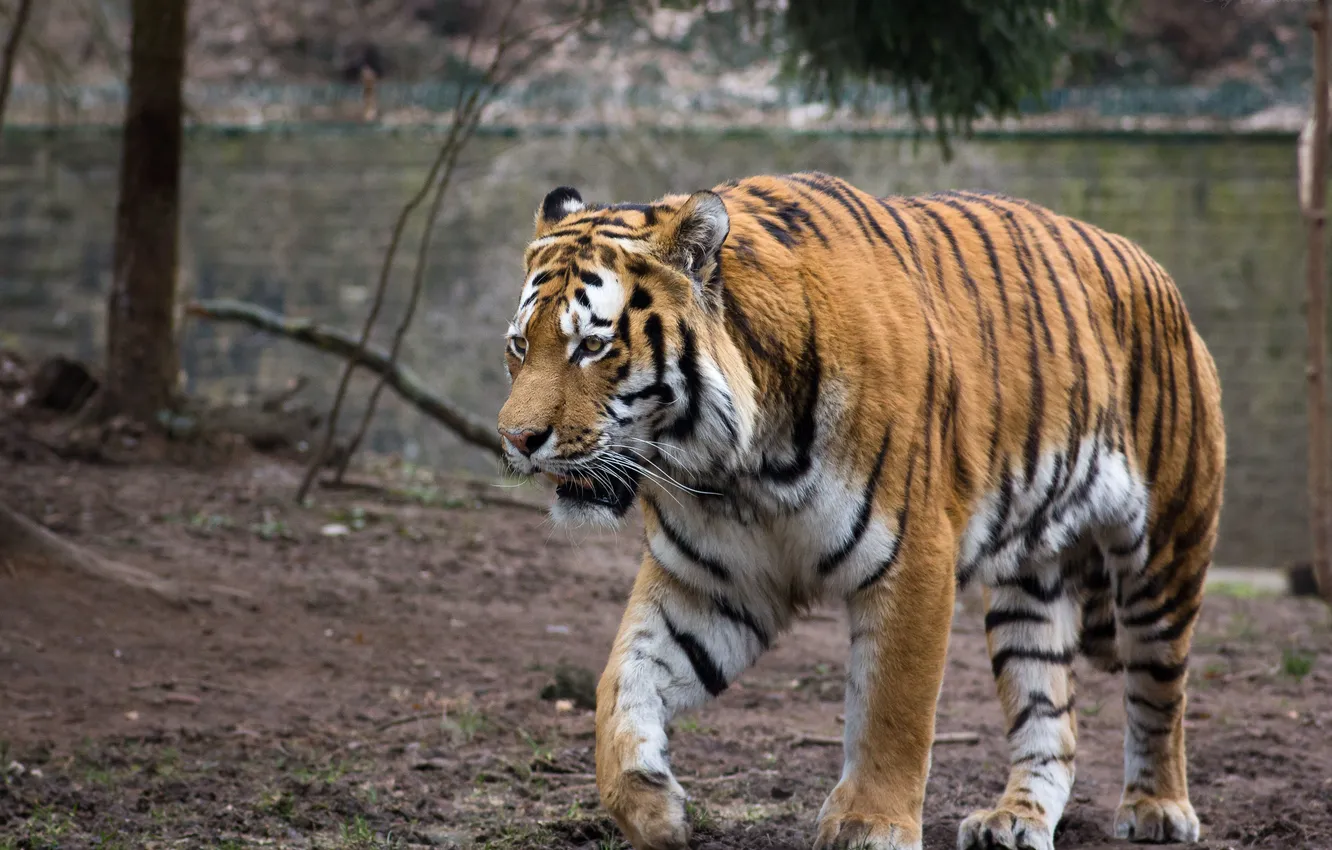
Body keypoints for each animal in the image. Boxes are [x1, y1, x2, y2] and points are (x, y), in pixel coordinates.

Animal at [496, 172, 1225, 850]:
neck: (740, 470)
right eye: (519, 346)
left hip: (1163, 558)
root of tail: (1158, 273)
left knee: (1161, 691)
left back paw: (1157, 808)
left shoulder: (914, 563)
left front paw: (871, 824)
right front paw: (650, 807)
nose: (515, 440)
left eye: (592, 346)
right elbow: (622, 682)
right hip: (1031, 583)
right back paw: (1014, 820)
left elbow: (891, 712)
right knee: (1051, 716)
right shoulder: (711, 583)